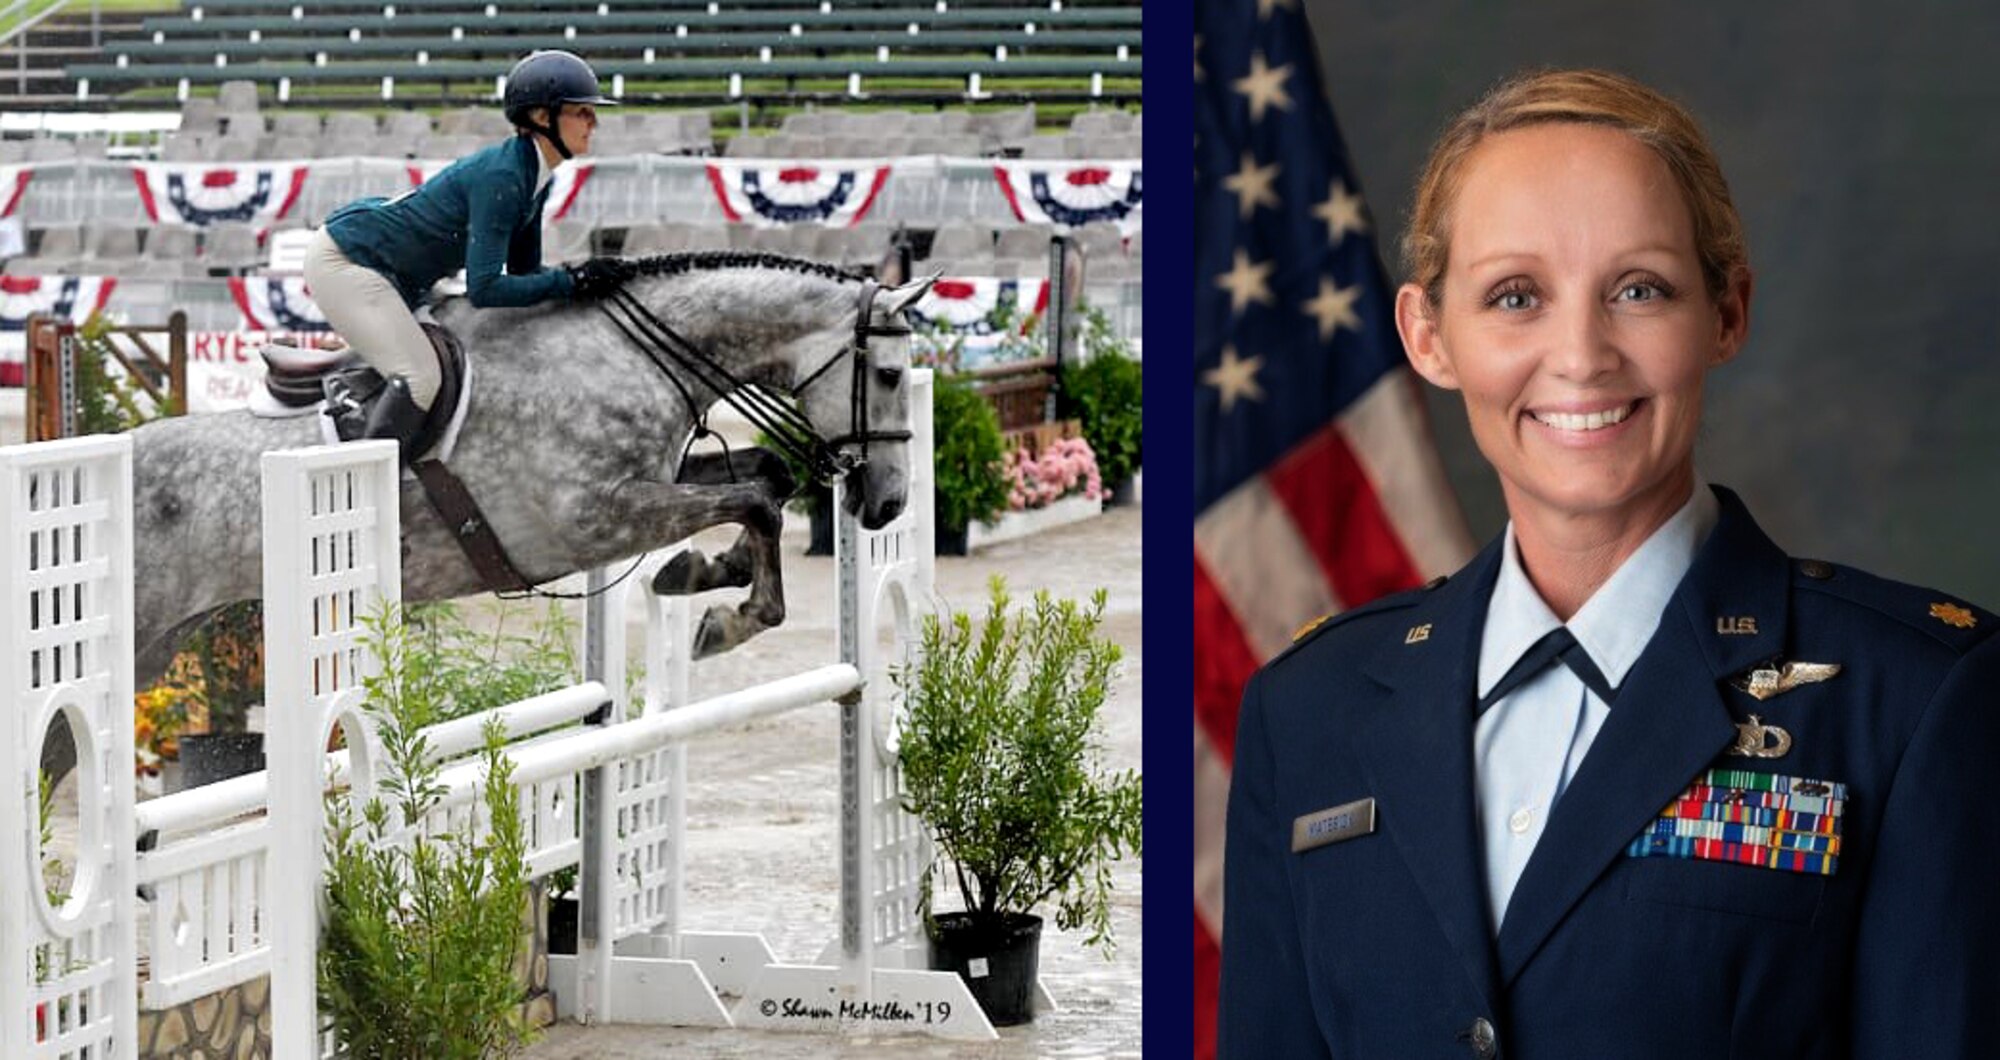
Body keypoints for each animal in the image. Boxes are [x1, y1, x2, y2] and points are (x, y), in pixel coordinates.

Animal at [133, 252, 928, 688]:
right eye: (889, 374)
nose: (888, 503)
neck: (628, 356)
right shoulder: (596, 519)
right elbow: (756, 500)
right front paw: (727, 619)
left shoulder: (653, 481)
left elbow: (765, 477)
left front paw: (705, 570)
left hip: (156, 647)